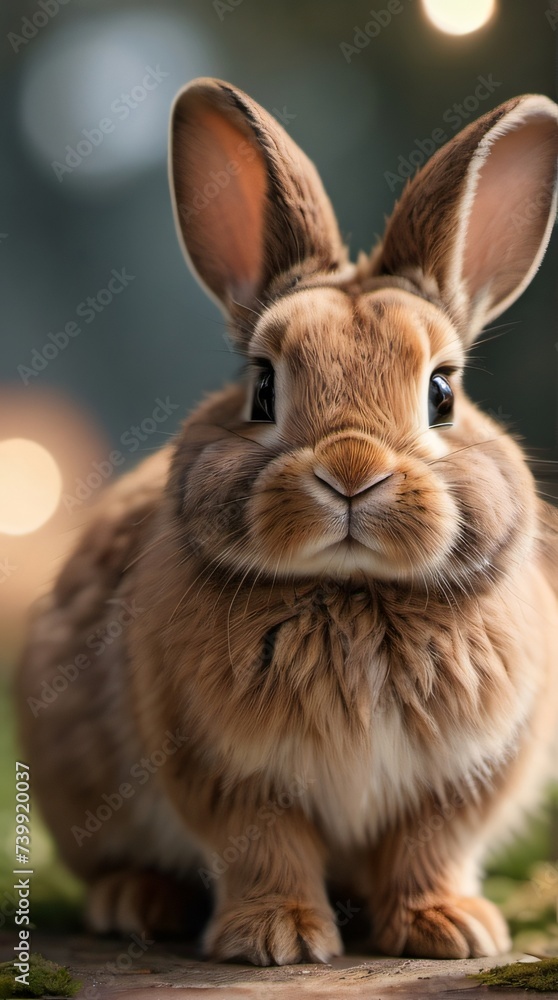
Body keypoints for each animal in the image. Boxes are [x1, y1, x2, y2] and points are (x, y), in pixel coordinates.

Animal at [17, 78, 558, 966]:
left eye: (442, 392)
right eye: (262, 389)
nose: (352, 473)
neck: (354, 591)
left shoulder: (462, 779)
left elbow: (429, 848)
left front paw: (451, 930)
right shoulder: (228, 771)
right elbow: (266, 846)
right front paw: (279, 939)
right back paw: (137, 902)